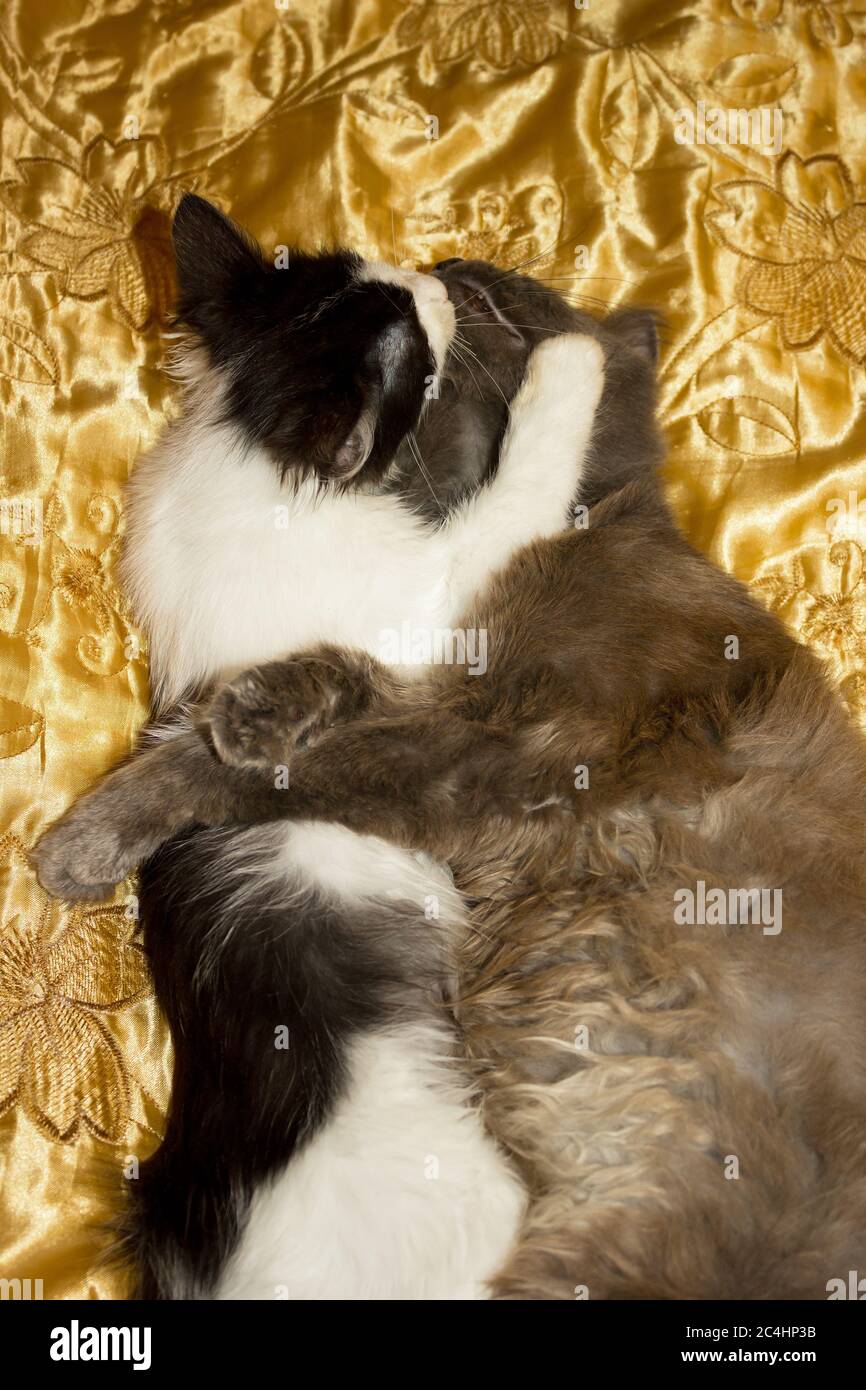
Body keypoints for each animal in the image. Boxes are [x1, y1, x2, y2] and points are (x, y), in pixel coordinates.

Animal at [35, 198, 608, 1301]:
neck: (254, 461)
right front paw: (569, 364)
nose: (436, 281)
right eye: (416, 362)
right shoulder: (430, 612)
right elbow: (514, 491)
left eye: (362, 266)